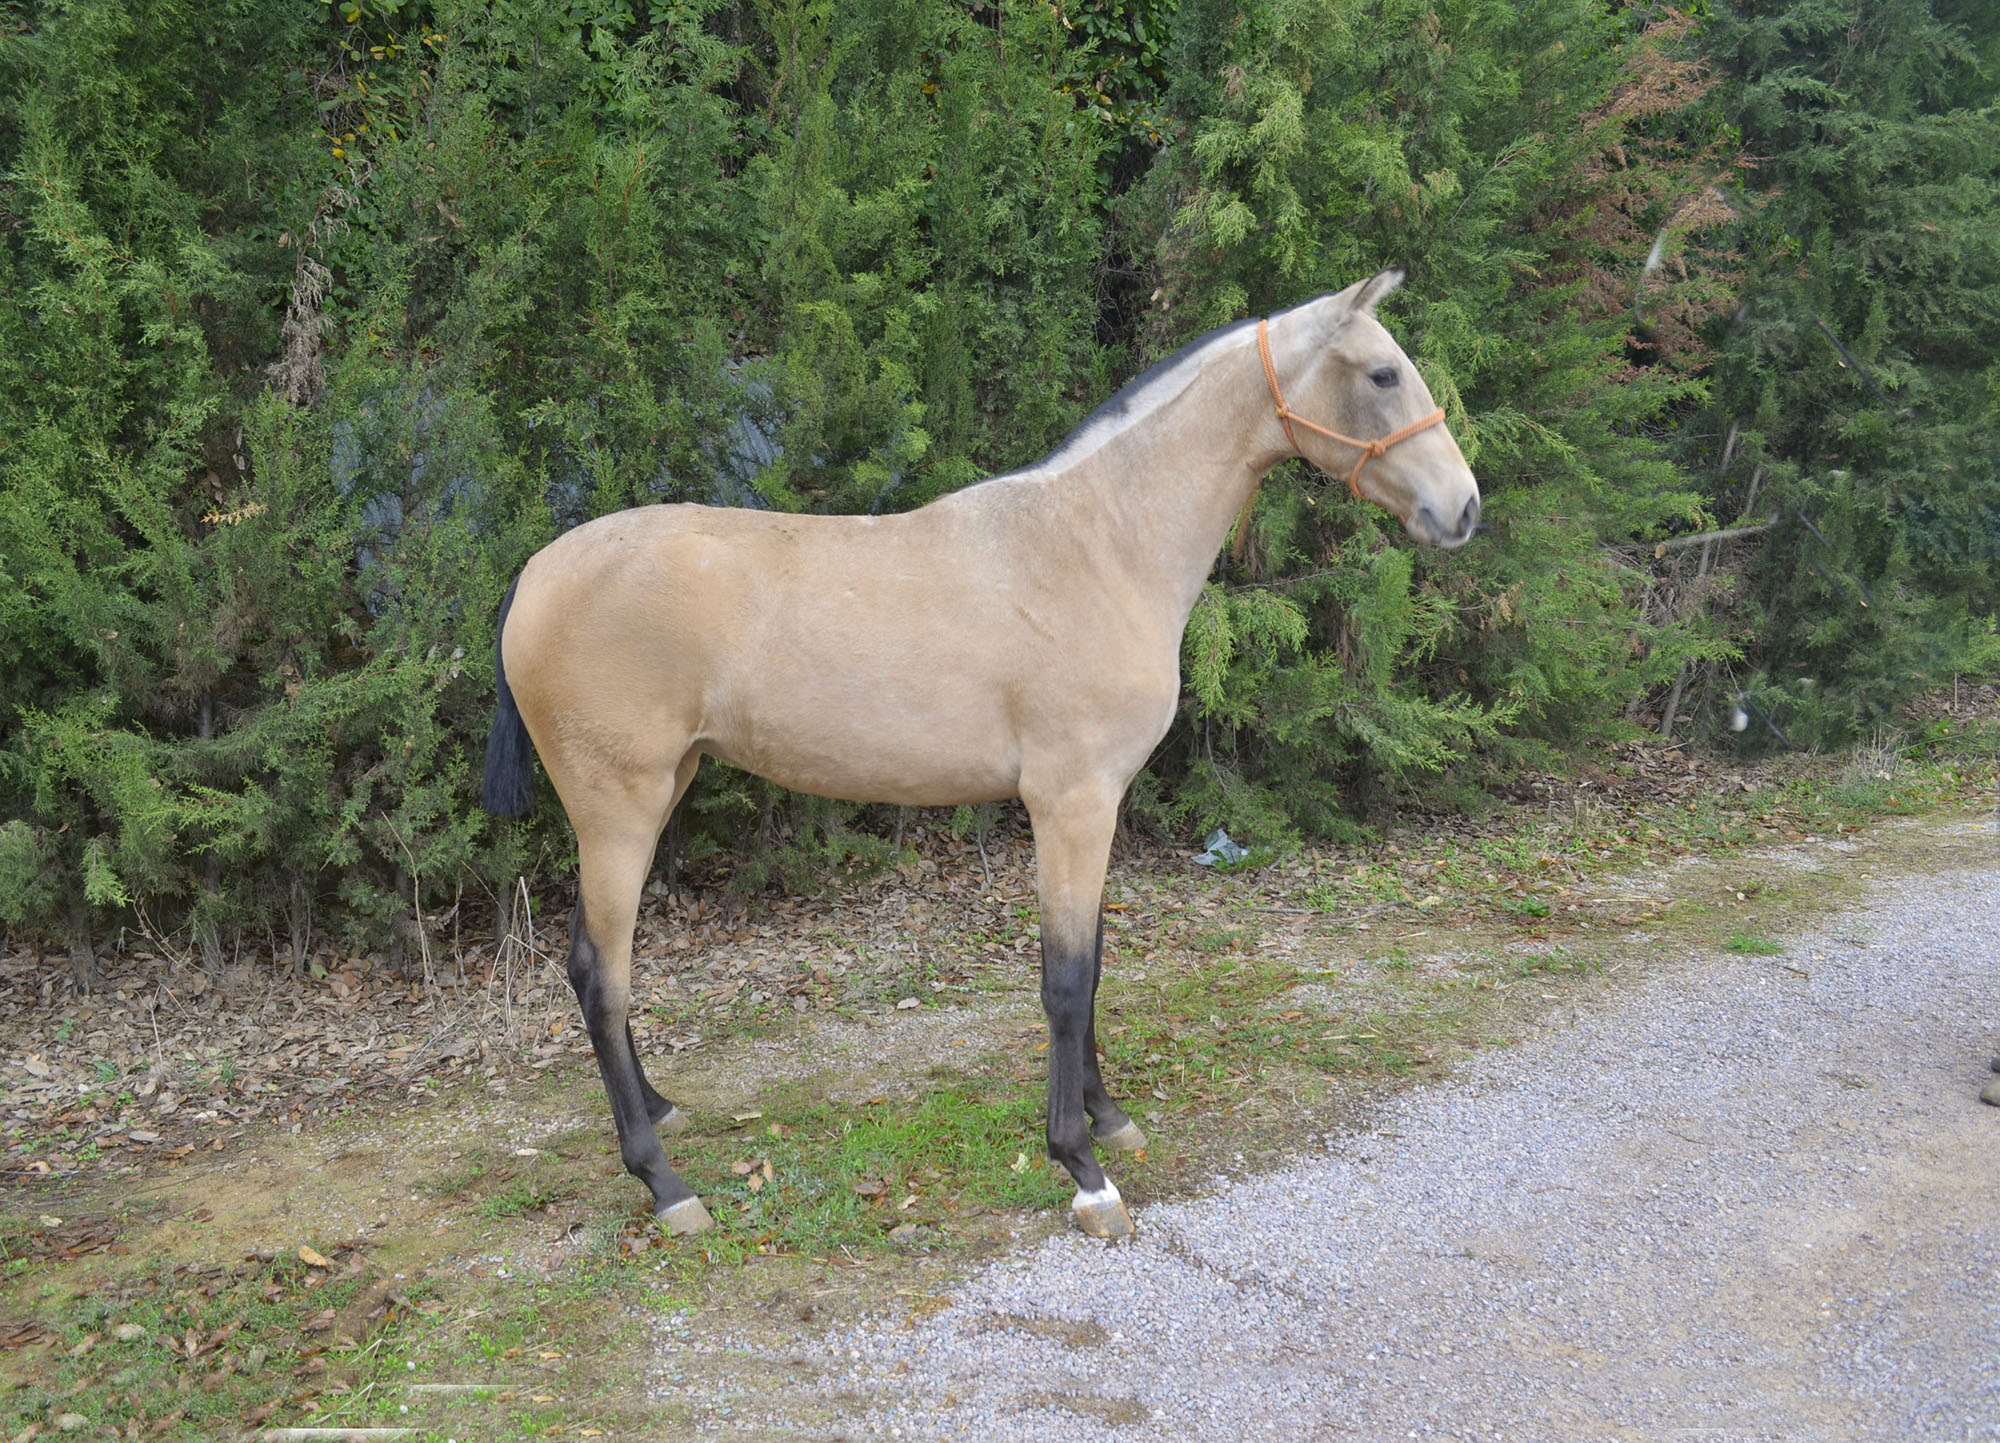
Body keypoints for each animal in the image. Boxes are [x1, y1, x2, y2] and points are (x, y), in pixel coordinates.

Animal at [480, 269, 1480, 1240]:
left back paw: (660, 1109)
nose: (1465, 508)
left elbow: (1095, 961)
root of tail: (533, 574)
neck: (1099, 544)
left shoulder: (1095, 807)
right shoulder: (1071, 803)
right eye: (1382, 374)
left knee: (599, 969)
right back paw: (665, 1183)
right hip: (619, 811)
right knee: (600, 976)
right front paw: (1083, 1169)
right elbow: (1066, 980)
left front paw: (1110, 1117)